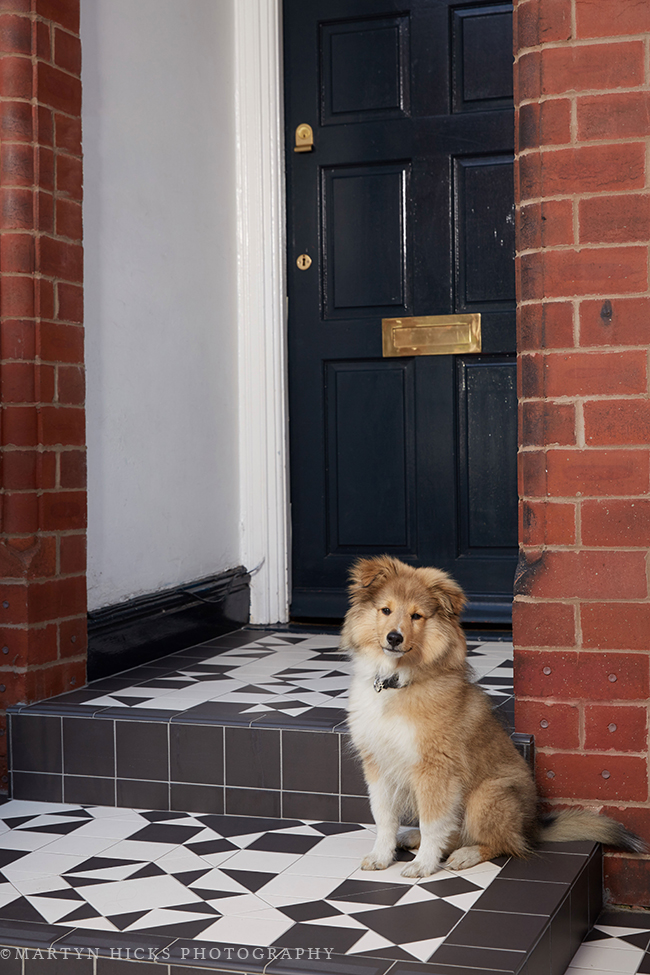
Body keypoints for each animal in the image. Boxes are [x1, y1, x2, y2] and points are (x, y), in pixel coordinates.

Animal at [340, 552, 644, 880]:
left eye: (417, 616)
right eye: (385, 610)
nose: (394, 638)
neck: (398, 682)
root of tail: (532, 826)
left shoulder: (435, 769)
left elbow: (434, 822)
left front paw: (423, 864)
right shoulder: (378, 764)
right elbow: (384, 817)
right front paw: (381, 856)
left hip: (485, 796)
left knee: (504, 843)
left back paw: (465, 854)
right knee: (460, 834)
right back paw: (412, 837)